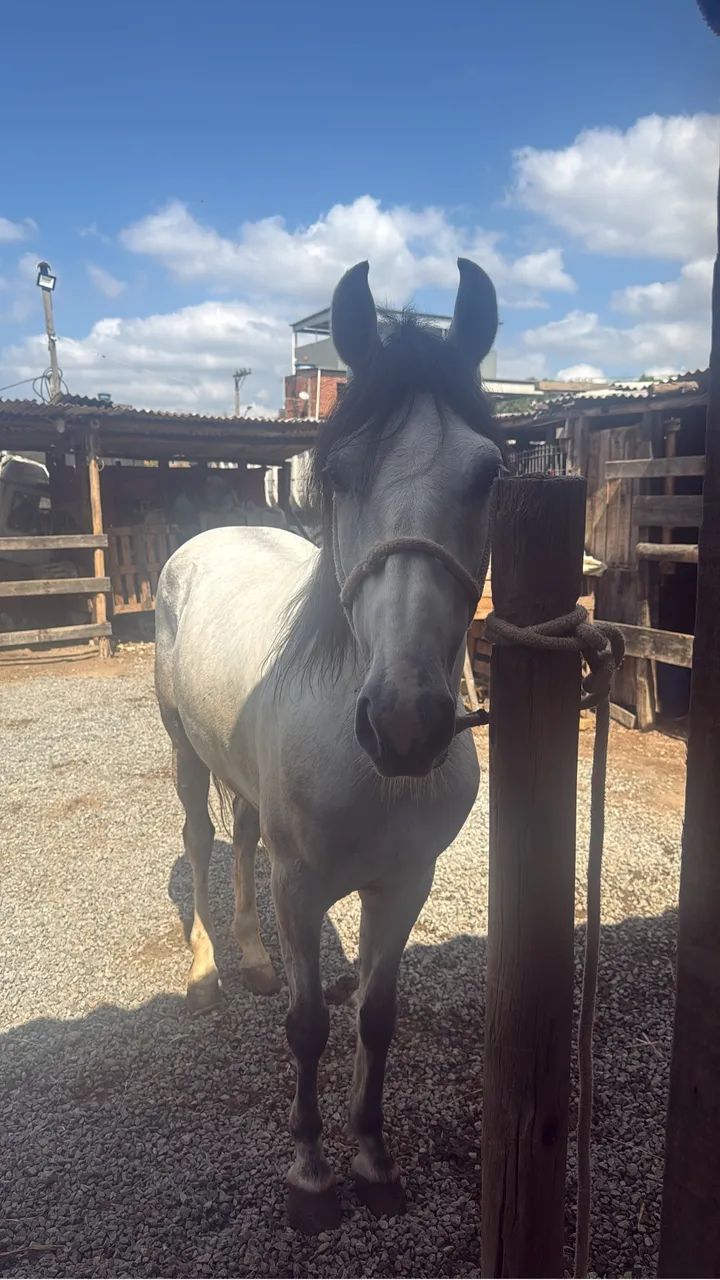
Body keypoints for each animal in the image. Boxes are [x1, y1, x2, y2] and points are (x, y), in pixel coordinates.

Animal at [154, 257, 505, 1233]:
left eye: (489, 474)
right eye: (339, 473)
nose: (407, 723)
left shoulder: (405, 882)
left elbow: (376, 1018)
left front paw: (374, 1160)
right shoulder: (304, 887)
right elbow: (310, 1027)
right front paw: (310, 1175)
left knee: (240, 842)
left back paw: (251, 957)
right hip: (184, 753)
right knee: (203, 839)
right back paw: (207, 973)